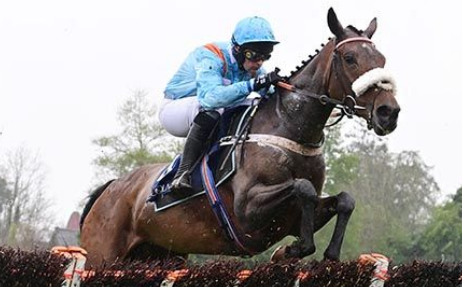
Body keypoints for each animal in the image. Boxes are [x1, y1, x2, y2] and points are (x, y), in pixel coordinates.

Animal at [79, 7, 400, 268]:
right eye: (350, 58)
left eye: (382, 58)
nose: (389, 112)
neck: (289, 127)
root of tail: (109, 189)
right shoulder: (247, 209)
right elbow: (303, 187)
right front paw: (291, 250)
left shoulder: (293, 218)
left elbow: (345, 200)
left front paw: (318, 252)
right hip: (101, 256)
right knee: (207, 112)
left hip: (161, 255)